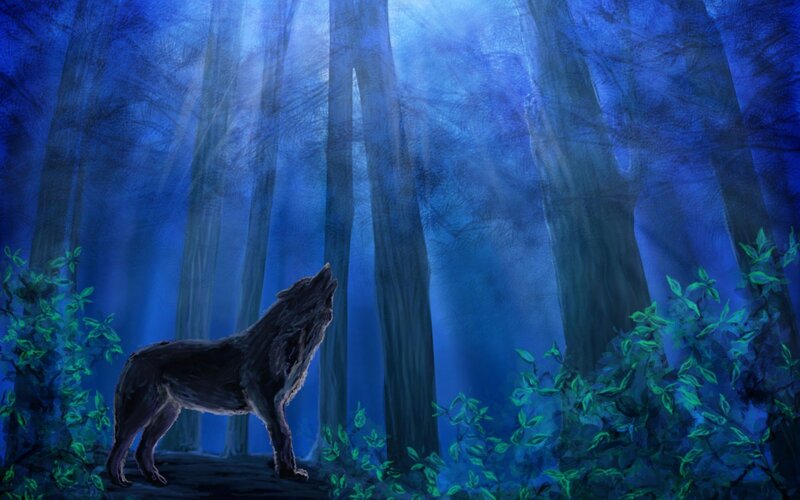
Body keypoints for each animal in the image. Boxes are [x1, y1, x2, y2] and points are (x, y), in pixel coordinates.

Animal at [105, 264, 337, 487]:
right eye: (308, 283)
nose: (327, 266)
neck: (293, 339)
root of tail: (133, 356)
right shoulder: (267, 404)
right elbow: (283, 436)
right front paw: (288, 473)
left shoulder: (277, 404)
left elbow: (285, 436)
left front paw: (291, 472)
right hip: (141, 412)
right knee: (120, 446)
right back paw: (119, 481)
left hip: (167, 414)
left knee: (142, 448)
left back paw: (154, 478)